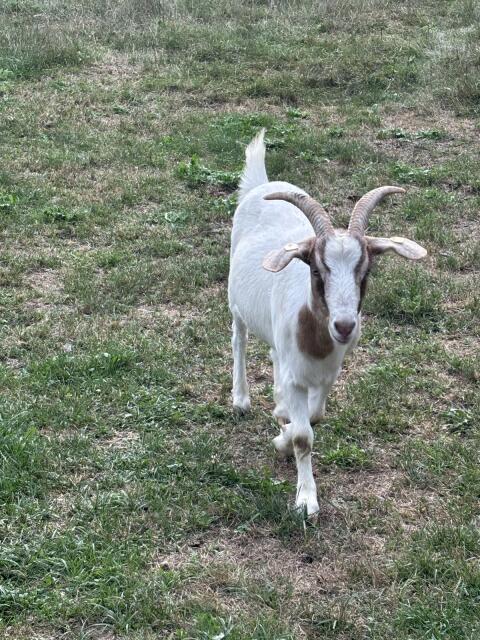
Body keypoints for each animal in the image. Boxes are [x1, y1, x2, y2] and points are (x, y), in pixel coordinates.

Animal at [228, 129, 427, 516]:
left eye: (365, 272)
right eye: (318, 271)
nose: (345, 326)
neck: (315, 344)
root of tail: (262, 184)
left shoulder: (327, 376)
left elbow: (315, 417)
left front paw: (282, 432)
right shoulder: (297, 379)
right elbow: (304, 436)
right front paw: (306, 499)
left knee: (272, 356)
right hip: (235, 303)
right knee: (239, 340)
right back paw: (241, 398)